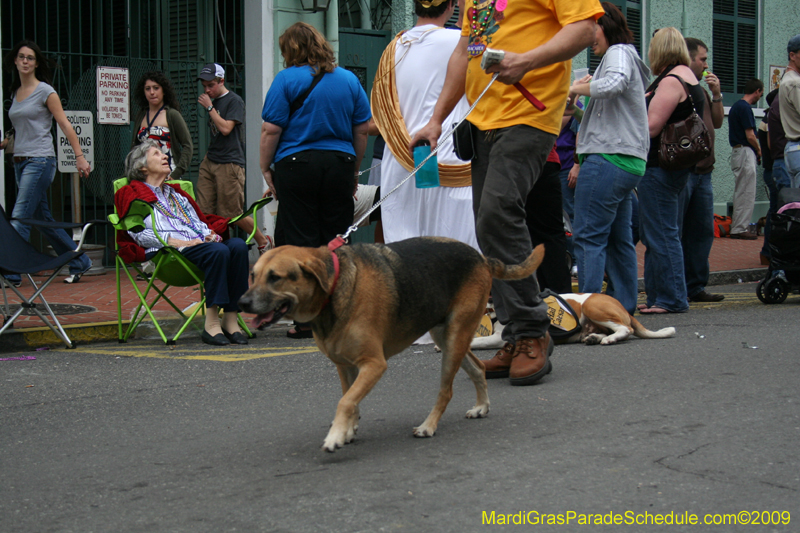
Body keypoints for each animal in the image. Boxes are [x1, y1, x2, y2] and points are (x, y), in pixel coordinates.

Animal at [238, 236, 544, 448]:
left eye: (275, 278)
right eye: (252, 275)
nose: (241, 303)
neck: (334, 289)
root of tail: (480, 257)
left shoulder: (374, 364)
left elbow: (345, 402)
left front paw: (335, 435)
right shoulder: (345, 366)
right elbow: (351, 399)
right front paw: (347, 430)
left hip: (455, 338)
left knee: (446, 391)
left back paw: (428, 426)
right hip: (446, 338)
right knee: (478, 368)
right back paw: (482, 406)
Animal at [468, 290, 676, 350]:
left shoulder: (500, 338)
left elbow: (476, 342)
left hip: (592, 305)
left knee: (626, 329)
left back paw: (608, 339)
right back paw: (594, 338)